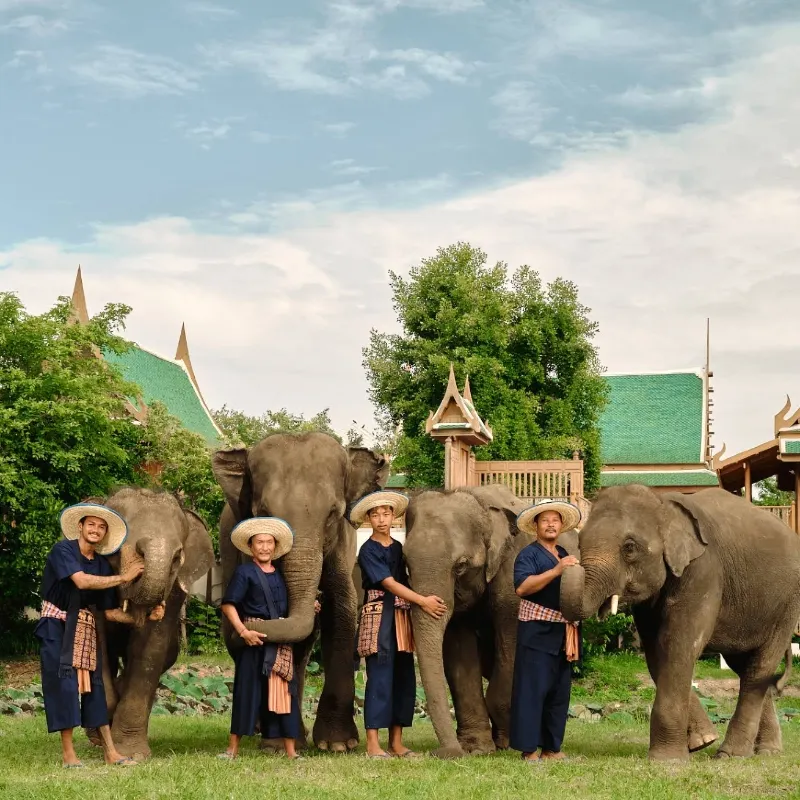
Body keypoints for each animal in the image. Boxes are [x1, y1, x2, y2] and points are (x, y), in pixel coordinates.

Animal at [212, 432, 389, 752]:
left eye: (333, 514)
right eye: (262, 514)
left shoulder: (343, 545)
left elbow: (341, 609)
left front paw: (337, 745)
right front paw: (279, 744)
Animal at [403, 484, 580, 758]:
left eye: (461, 566)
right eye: (406, 564)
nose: (444, 753)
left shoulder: (512, 573)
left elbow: (512, 643)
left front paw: (507, 743)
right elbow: (459, 651)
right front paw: (476, 748)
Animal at [560, 485, 800, 761]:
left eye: (629, 547)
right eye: (580, 542)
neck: (662, 502)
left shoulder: (704, 570)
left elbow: (678, 645)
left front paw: (668, 760)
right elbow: (656, 652)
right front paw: (702, 741)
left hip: (788, 604)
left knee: (759, 668)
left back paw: (731, 754)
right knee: (746, 667)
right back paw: (767, 752)